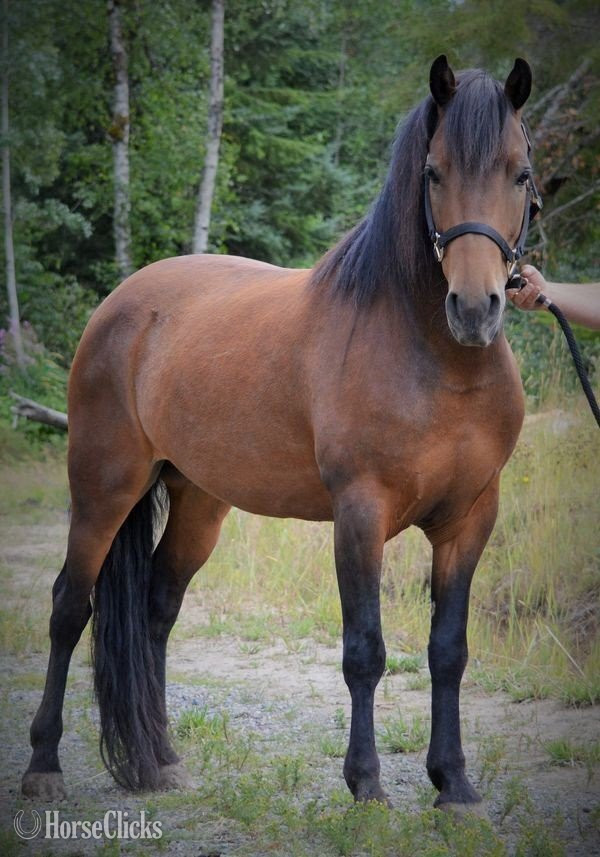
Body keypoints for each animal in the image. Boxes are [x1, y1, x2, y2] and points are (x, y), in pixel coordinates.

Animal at [22, 55, 537, 814]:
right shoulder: (360, 513)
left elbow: (449, 649)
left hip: (199, 500)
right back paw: (44, 763)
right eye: (434, 172)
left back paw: (161, 759)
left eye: (521, 173)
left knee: (155, 610)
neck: (439, 362)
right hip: (102, 488)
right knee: (68, 607)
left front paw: (455, 785)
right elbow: (365, 650)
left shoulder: (471, 518)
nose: (475, 309)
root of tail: (122, 303)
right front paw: (367, 784)